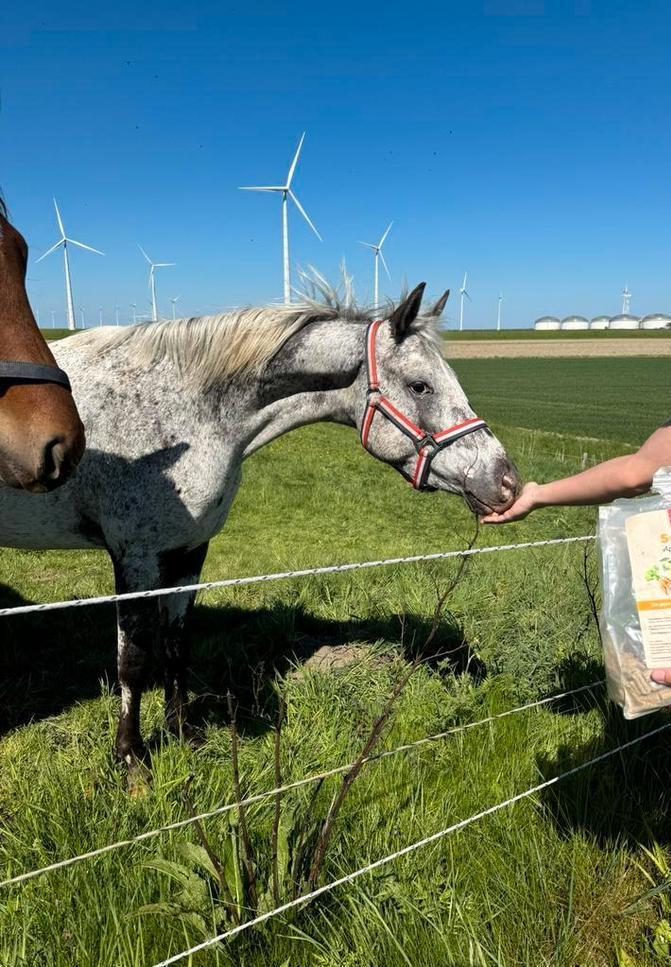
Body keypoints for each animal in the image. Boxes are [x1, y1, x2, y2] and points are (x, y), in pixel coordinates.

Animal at [0, 280, 519, 765]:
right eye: (420, 386)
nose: (506, 480)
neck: (184, 411)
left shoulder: (189, 552)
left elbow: (176, 646)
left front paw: (184, 734)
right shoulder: (136, 560)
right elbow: (133, 661)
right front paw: (132, 761)